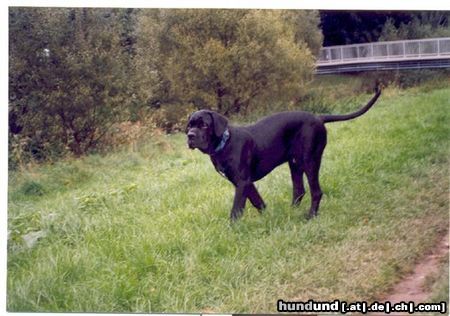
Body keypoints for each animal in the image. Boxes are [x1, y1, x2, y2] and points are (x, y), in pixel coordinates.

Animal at [185, 86, 380, 220]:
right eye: (190, 125)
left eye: (204, 125)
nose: (190, 136)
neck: (224, 144)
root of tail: (318, 118)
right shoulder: (246, 183)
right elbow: (257, 201)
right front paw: (267, 218)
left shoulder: (242, 182)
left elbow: (236, 210)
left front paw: (232, 230)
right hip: (295, 163)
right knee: (299, 190)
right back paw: (291, 211)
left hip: (310, 160)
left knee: (316, 191)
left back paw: (310, 216)